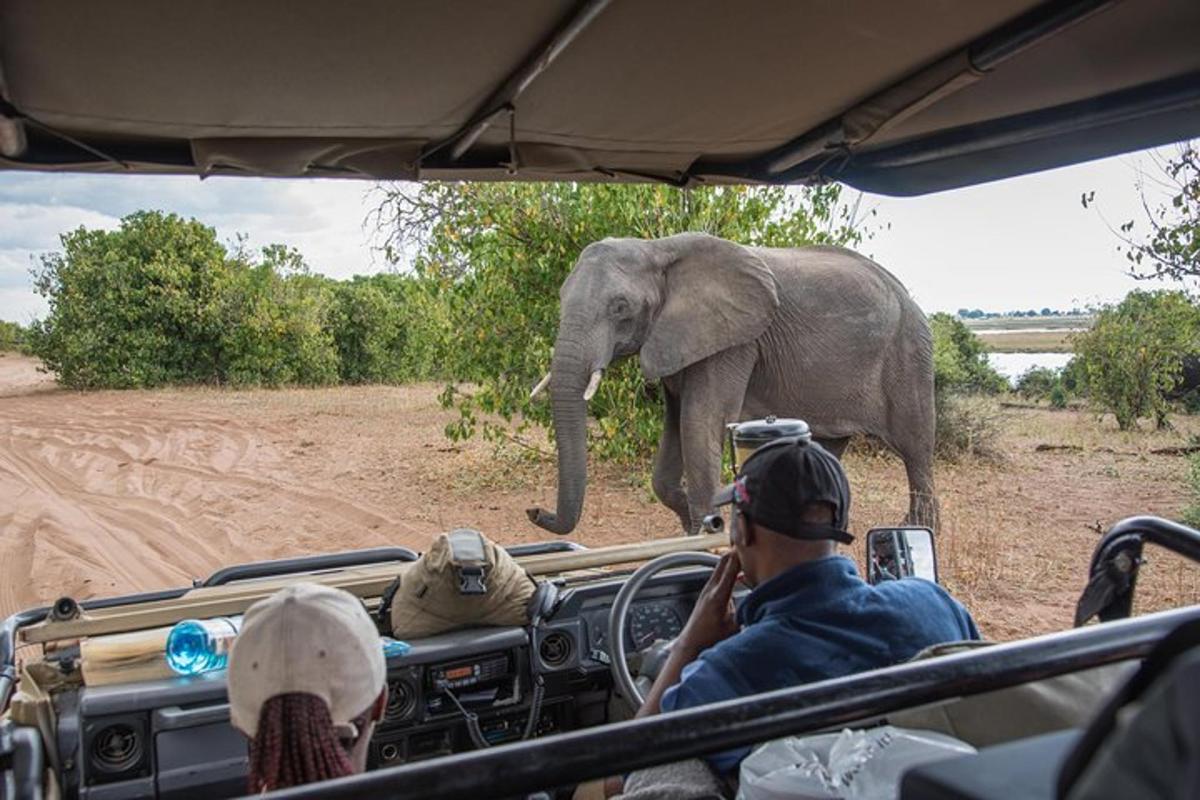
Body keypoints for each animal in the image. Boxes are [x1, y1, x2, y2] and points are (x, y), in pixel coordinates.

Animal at [528, 231, 936, 534]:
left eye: (620, 307)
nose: (536, 512)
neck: (657, 248)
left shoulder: (735, 340)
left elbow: (699, 421)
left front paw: (708, 533)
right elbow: (674, 433)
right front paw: (695, 527)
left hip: (909, 353)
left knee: (915, 449)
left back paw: (916, 530)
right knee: (826, 447)